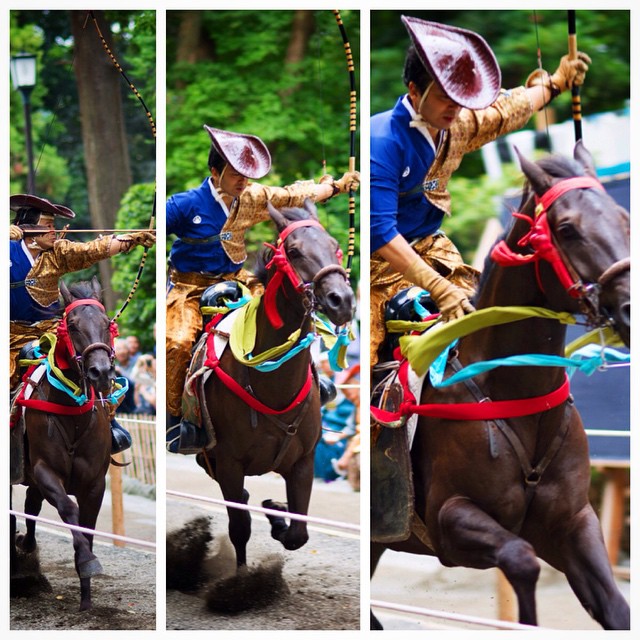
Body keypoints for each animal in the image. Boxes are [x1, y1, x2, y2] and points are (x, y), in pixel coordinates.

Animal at [10, 278, 119, 612]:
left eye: (107, 323)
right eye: (72, 325)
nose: (101, 372)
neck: (72, 414)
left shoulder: (94, 483)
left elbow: (88, 526)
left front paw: (86, 598)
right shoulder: (46, 470)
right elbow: (69, 509)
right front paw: (87, 561)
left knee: (30, 504)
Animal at [195, 199, 356, 564]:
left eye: (335, 246)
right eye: (294, 251)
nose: (342, 300)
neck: (273, 386)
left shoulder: (303, 462)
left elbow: (298, 533)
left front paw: (277, 513)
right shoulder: (228, 462)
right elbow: (240, 529)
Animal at [372, 142, 632, 628]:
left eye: (624, 218)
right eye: (566, 229)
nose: (630, 305)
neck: (516, 394)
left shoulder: (572, 523)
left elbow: (615, 608)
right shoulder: (449, 519)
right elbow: (522, 559)